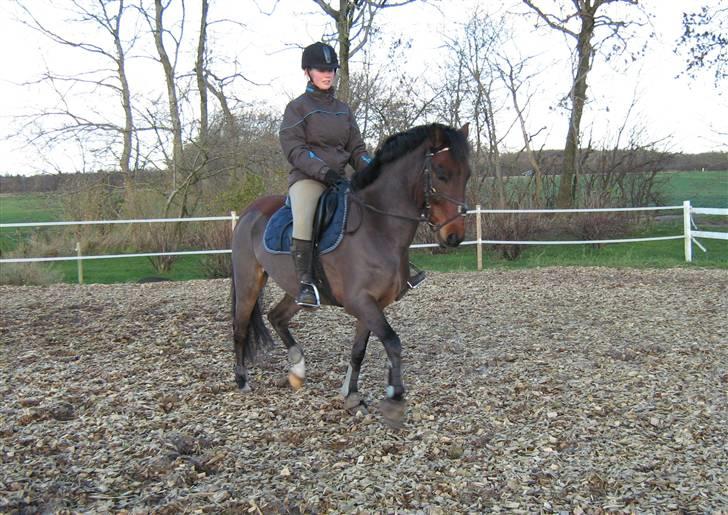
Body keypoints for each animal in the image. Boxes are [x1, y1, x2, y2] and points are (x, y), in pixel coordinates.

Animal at [230, 122, 471, 425]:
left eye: (467, 175)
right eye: (441, 173)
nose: (454, 236)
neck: (377, 227)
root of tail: (248, 212)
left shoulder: (372, 304)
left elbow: (359, 350)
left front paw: (352, 396)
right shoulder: (360, 302)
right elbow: (393, 342)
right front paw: (394, 399)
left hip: (296, 289)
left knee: (276, 317)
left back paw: (297, 369)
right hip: (248, 281)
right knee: (240, 328)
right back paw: (242, 381)